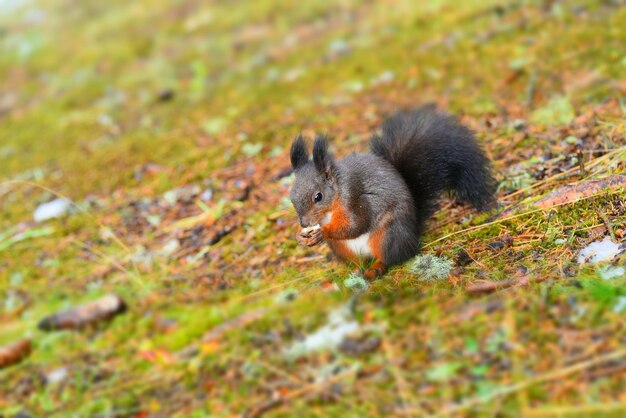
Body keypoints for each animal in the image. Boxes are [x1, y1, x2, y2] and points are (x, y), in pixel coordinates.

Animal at [288, 105, 498, 280]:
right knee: (359, 261)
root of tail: (412, 236)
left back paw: (376, 269)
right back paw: (356, 271)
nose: (304, 223)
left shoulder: (354, 199)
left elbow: (356, 225)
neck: (332, 204)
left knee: (390, 258)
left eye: (318, 196)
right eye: (291, 197)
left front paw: (323, 232)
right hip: (340, 247)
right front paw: (300, 237)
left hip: (388, 235)